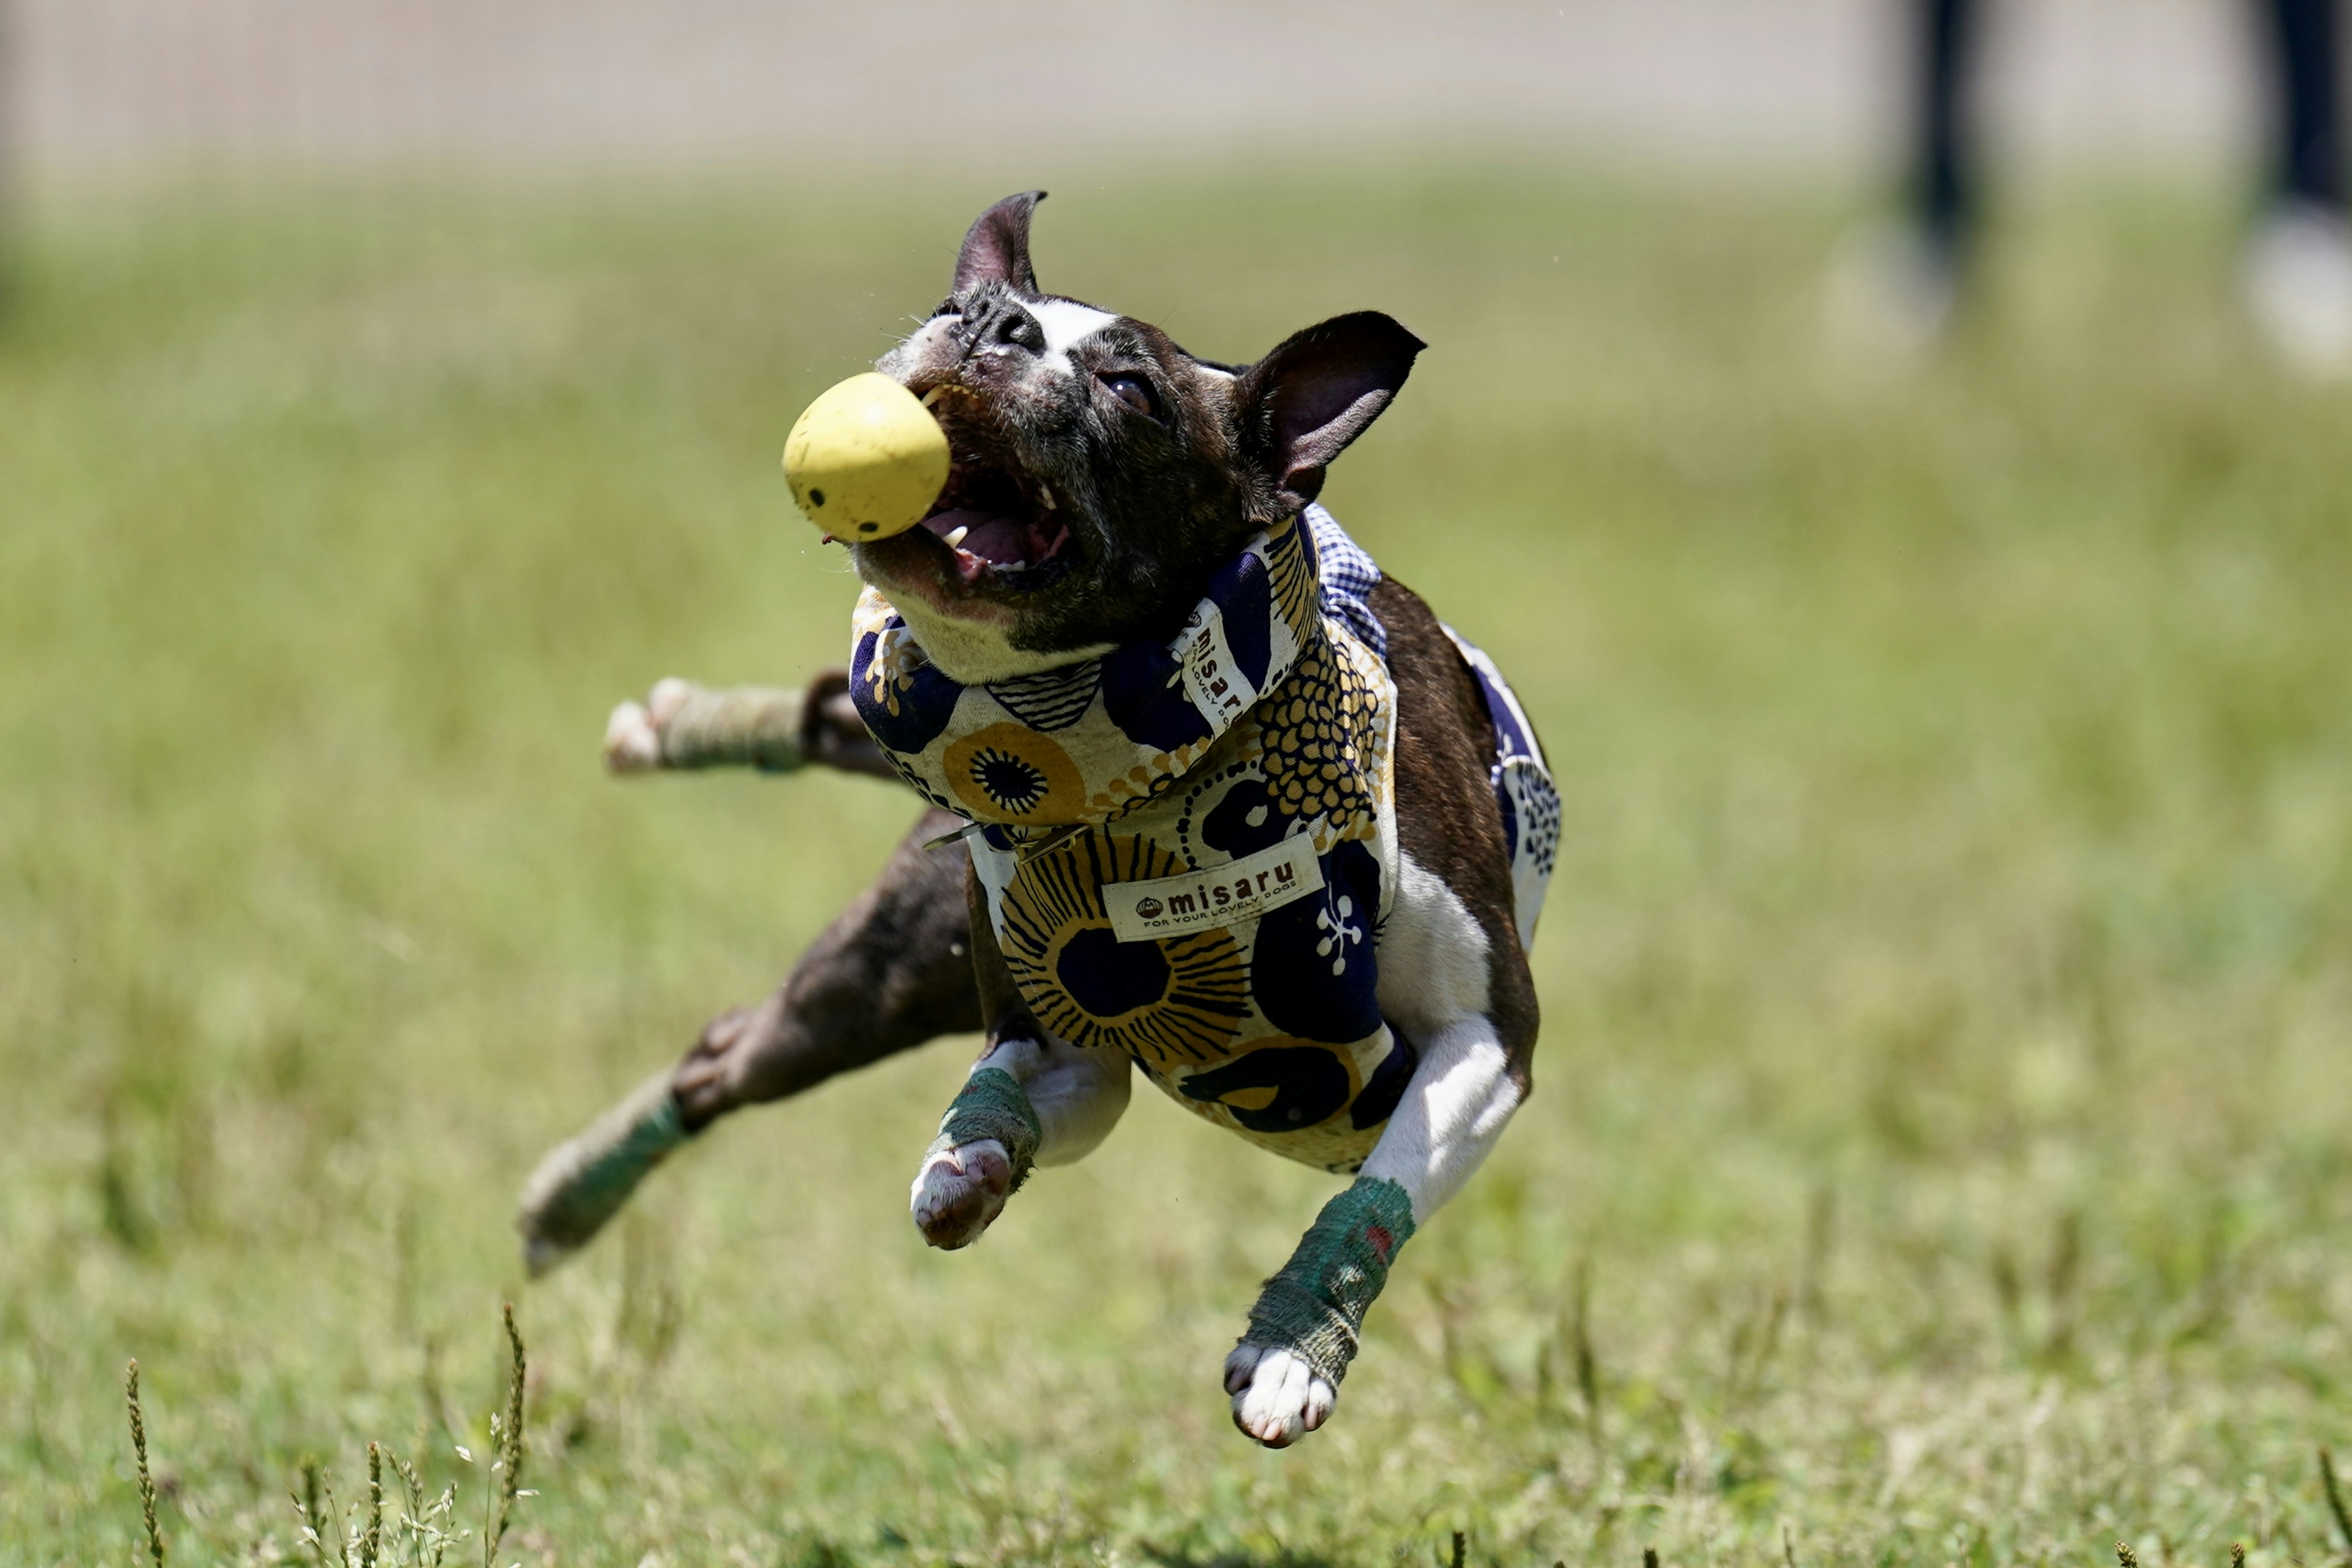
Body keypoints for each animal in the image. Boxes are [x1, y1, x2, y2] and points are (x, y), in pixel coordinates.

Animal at [524, 192, 1543, 1448]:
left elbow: (1390, 1174)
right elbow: (1014, 1099)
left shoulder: (1487, 1040)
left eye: (1132, 388)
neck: (1164, 774)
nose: (992, 323)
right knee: (730, 1052)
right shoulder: (1067, 1037)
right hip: (888, 971)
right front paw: (968, 1162)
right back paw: (571, 1192)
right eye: (958, 305)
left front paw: (1294, 1348)